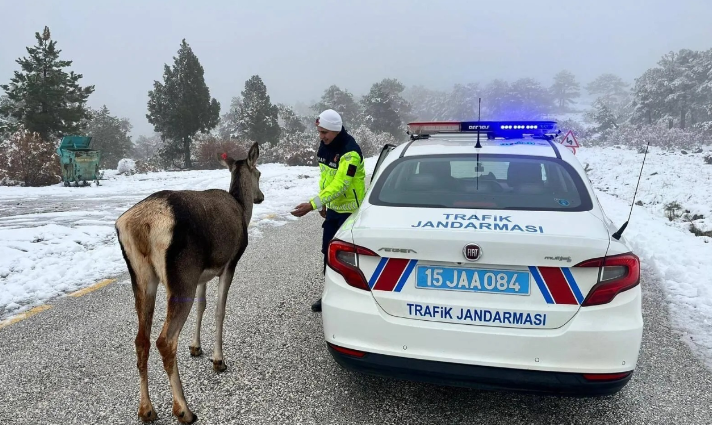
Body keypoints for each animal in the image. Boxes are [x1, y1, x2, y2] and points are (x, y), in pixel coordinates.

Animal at [115, 142, 262, 420]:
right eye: (259, 173)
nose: (260, 197)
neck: (242, 209)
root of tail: (141, 225)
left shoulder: (202, 273)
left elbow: (201, 307)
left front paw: (196, 347)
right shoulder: (230, 263)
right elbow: (219, 310)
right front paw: (218, 360)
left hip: (143, 278)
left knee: (141, 340)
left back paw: (146, 409)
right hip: (182, 274)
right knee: (165, 340)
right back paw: (183, 409)